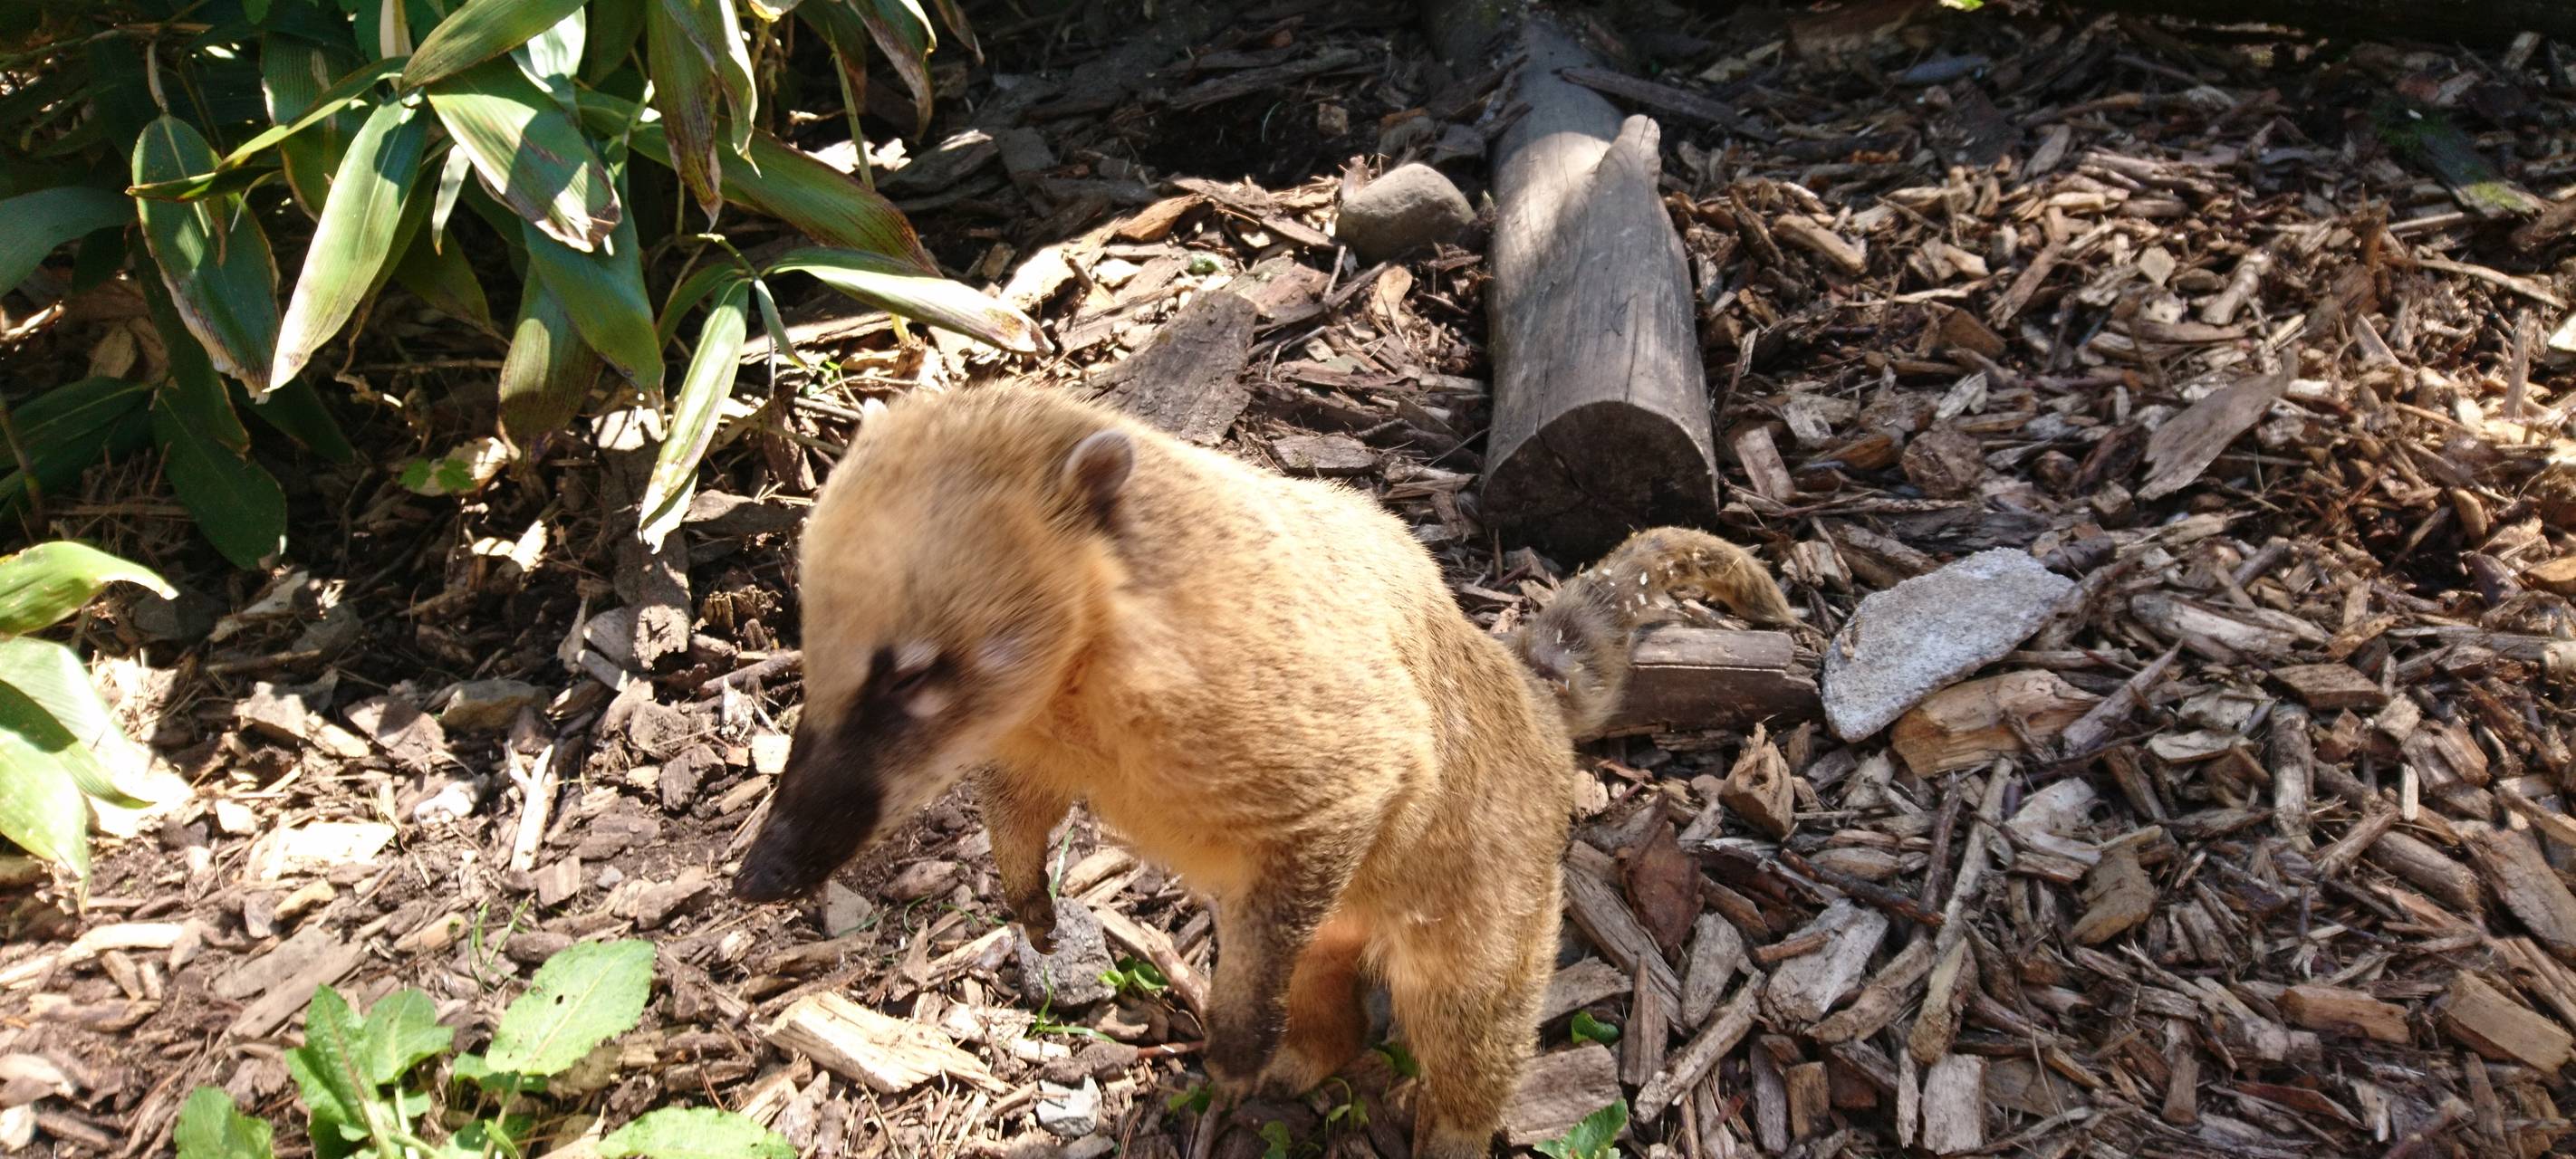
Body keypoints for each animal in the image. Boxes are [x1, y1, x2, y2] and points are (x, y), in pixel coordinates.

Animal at [732, 383, 1795, 1159]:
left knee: (1464, 1017)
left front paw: (1235, 1041)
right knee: (1324, 981)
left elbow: (1357, 779)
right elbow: (1018, 799)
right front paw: (1023, 885)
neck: (1079, 669)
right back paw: (1305, 1054)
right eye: (810, 647)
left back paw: (1437, 1121)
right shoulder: (1028, 731)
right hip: (1343, 916)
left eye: (912, 674)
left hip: (1494, 882)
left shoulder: (1294, 700)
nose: (758, 878)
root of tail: (1531, 696)